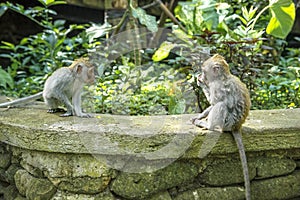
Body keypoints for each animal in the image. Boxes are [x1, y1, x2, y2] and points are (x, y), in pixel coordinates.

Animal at [192, 54, 251, 200]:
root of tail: (237, 126)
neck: (222, 77)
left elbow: (215, 102)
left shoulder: (216, 87)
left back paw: (209, 126)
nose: (200, 75)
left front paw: (201, 83)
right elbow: (212, 105)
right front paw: (200, 116)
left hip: (227, 122)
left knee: (221, 105)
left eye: (204, 71)